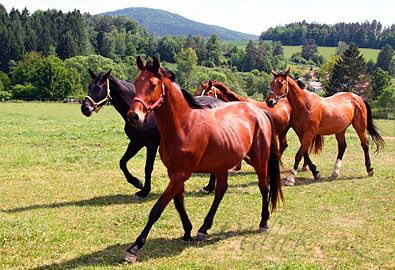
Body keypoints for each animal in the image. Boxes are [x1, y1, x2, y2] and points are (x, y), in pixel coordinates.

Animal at [80, 68, 226, 199]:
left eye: (100, 86)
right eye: (89, 86)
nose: (85, 108)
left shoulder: (151, 145)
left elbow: (147, 168)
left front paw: (144, 191)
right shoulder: (136, 142)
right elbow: (122, 162)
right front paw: (137, 183)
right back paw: (209, 187)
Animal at [124, 56, 284, 262]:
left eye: (153, 85)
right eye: (136, 82)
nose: (134, 116)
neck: (184, 126)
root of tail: (259, 112)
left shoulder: (181, 174)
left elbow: (157, 209)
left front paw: (134, 247)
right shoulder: (175, 174)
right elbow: (179, 204)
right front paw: (188, 231)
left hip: (259, 161)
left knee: (264, 187)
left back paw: (263, 221)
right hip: (224, 165)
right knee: (220, 191)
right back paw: (204, 228)